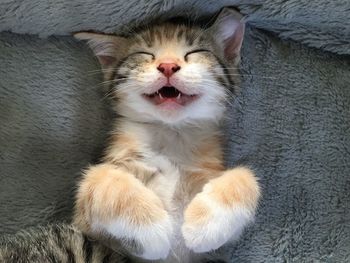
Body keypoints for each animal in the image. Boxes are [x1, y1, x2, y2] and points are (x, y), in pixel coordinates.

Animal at [72, 6, 260, 263]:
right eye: (144, 53)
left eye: (195, 52)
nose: (168, 65)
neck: (171, 135)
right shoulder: (83, 222)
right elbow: (100, 177)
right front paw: (151, 229)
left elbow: (245, 176)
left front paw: (205, 225)